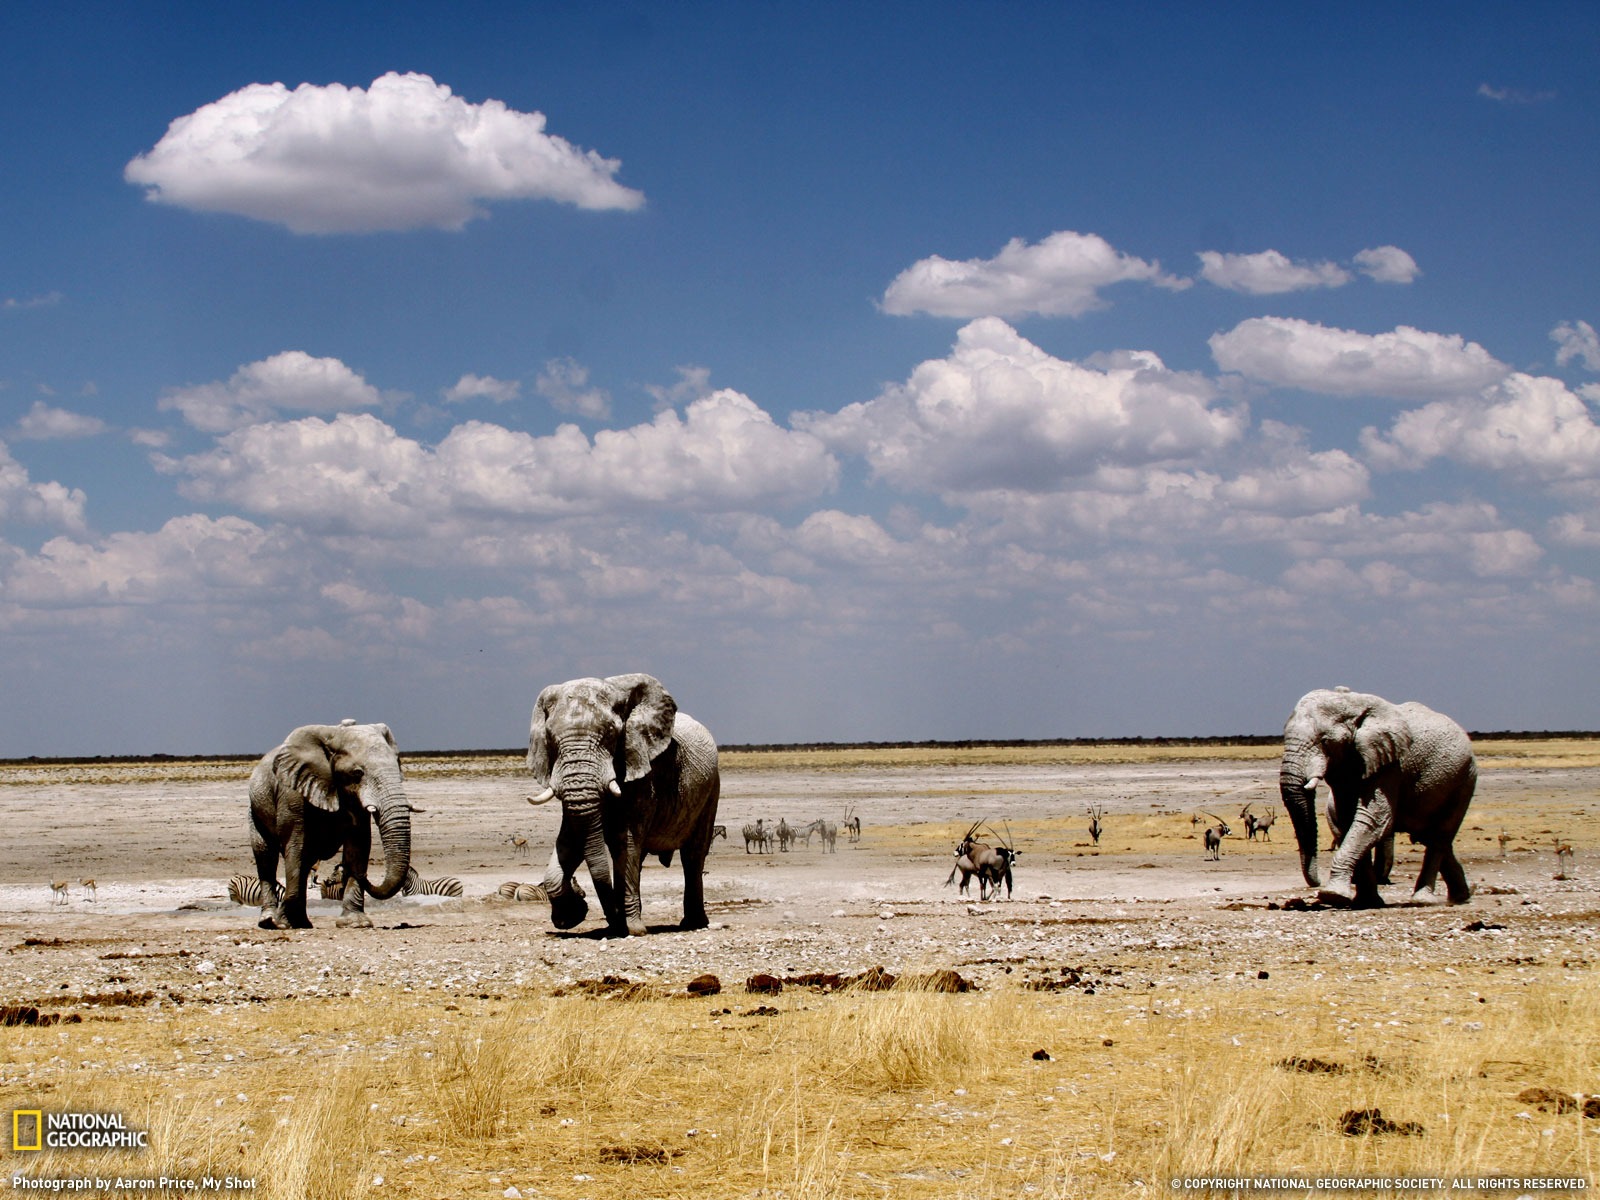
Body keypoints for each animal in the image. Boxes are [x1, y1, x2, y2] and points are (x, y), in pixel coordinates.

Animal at [248, 723, 412, 928]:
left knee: (305, 862)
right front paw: (283, 923)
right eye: (357, 773)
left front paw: (355, 923)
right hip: (255, 809)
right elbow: (295, 844)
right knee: (266, 857)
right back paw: (269, 921)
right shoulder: (291, 793)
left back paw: (302, 922)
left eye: (398, 765)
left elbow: (358, 844)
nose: (365, 876)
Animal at [524, 678, 720, 940]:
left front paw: (634, 930)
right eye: (551, 738)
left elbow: (624, 842)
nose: (614, 924)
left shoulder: (641, 770)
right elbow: (570, 841)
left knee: (692, 855)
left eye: (610, 735)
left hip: (711, 789)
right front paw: (571, 918)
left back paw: (692, 923)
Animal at [1280, 684, 1478, 908]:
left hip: (1464, 778)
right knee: (1429, 836)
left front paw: (1332, 895)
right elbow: (1348, 820)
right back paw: (1461, 896)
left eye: (1324, 741)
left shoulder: (1390, 763)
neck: (1352, 704)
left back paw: (1423, 900)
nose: (1316, 882)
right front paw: (1366, 902)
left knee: (1439, 836)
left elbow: (1373, 819)